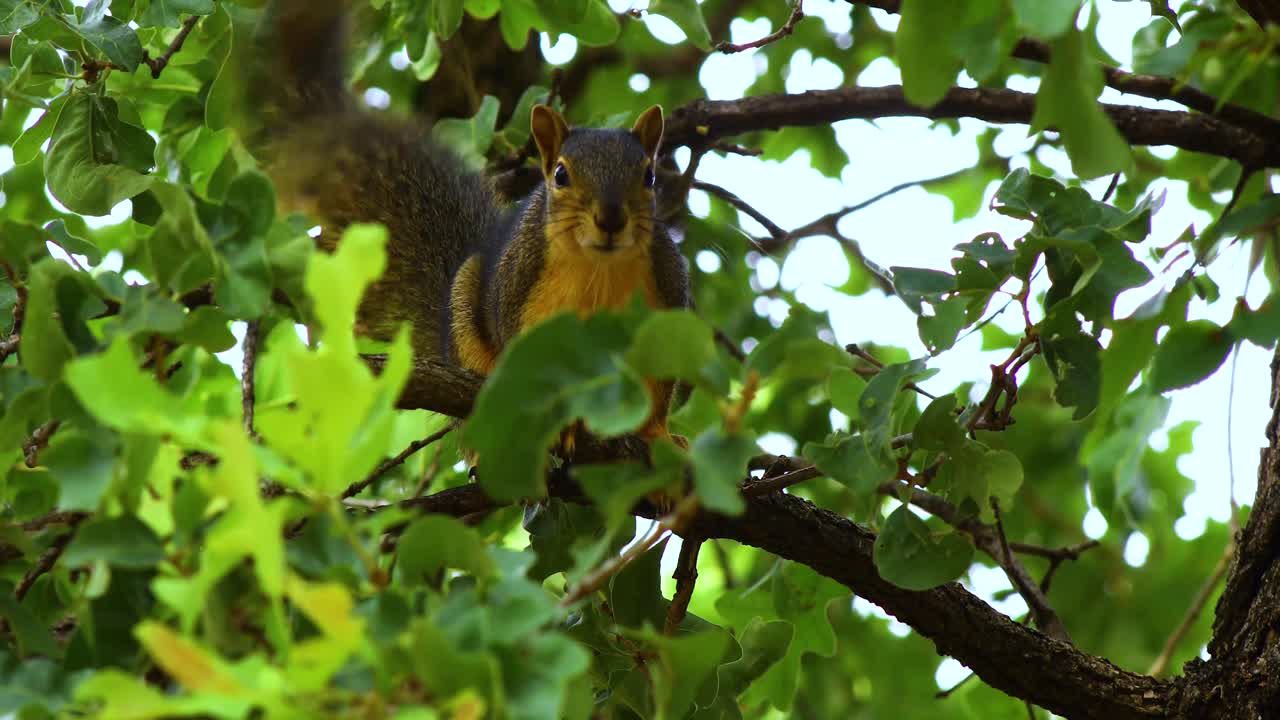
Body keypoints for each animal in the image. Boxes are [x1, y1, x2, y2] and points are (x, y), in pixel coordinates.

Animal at [246, 1, 691, 443]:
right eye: (561, 175)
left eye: (649, 176)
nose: (611, 219)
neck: (598, 266)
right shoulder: (520, 296)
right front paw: (562, 424)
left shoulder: (665, 299)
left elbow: (659, 386)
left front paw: (659, 434)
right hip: (466, 300)